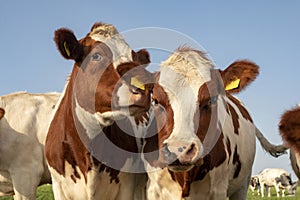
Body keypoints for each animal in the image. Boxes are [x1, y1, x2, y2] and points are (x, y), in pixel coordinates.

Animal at [143, 46, 286, 199]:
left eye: (211, 99)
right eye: (156, 100)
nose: (179, 150)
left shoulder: (219, 190)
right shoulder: (153, 190)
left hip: (243, 185)